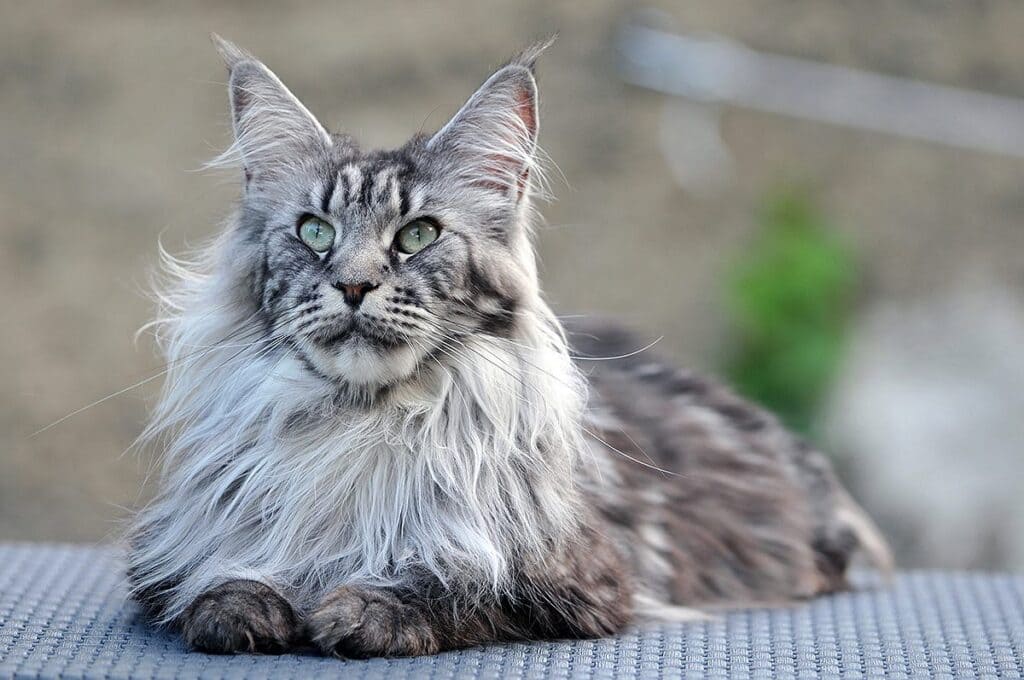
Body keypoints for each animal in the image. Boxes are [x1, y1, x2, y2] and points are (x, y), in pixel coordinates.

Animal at [125, 37, 888, 659]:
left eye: (418, 235)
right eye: (315, 232)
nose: (353, 284)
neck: (362, 427)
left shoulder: (577, 579)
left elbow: (457, 584)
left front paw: (361, 608)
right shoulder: (166, 553)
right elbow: (213, 583)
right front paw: (244, 607)